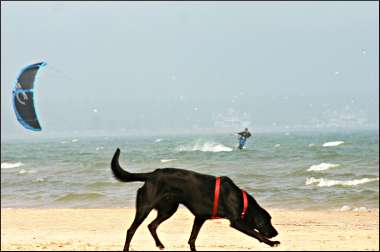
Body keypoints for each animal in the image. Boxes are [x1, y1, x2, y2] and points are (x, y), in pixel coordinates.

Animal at [110, 149, 280, 251]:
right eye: (267, 221)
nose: (276, 233)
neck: (240, 199)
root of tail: (151, 174)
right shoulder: (237, 222)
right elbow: (257, 234)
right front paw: (272, 243)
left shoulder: (200, 217)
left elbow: (192, 239)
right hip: (145, 207)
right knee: (131, 230)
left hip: (168, 209)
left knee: (152, 225)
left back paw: (160, 244)